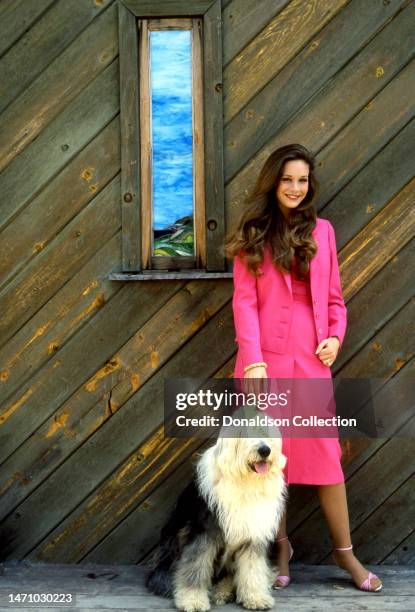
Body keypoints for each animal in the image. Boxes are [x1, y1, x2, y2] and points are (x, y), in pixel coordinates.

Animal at [145, 430, 286, 612]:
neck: (245, 482)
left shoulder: (253, 532)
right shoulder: (203, 532)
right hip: (175, 539)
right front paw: (193, 600)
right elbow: (195, 566)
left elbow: (252, 568)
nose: (265, 450)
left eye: (265, 431)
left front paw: (255, 597)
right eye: (245, 433)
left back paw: (223, 591)